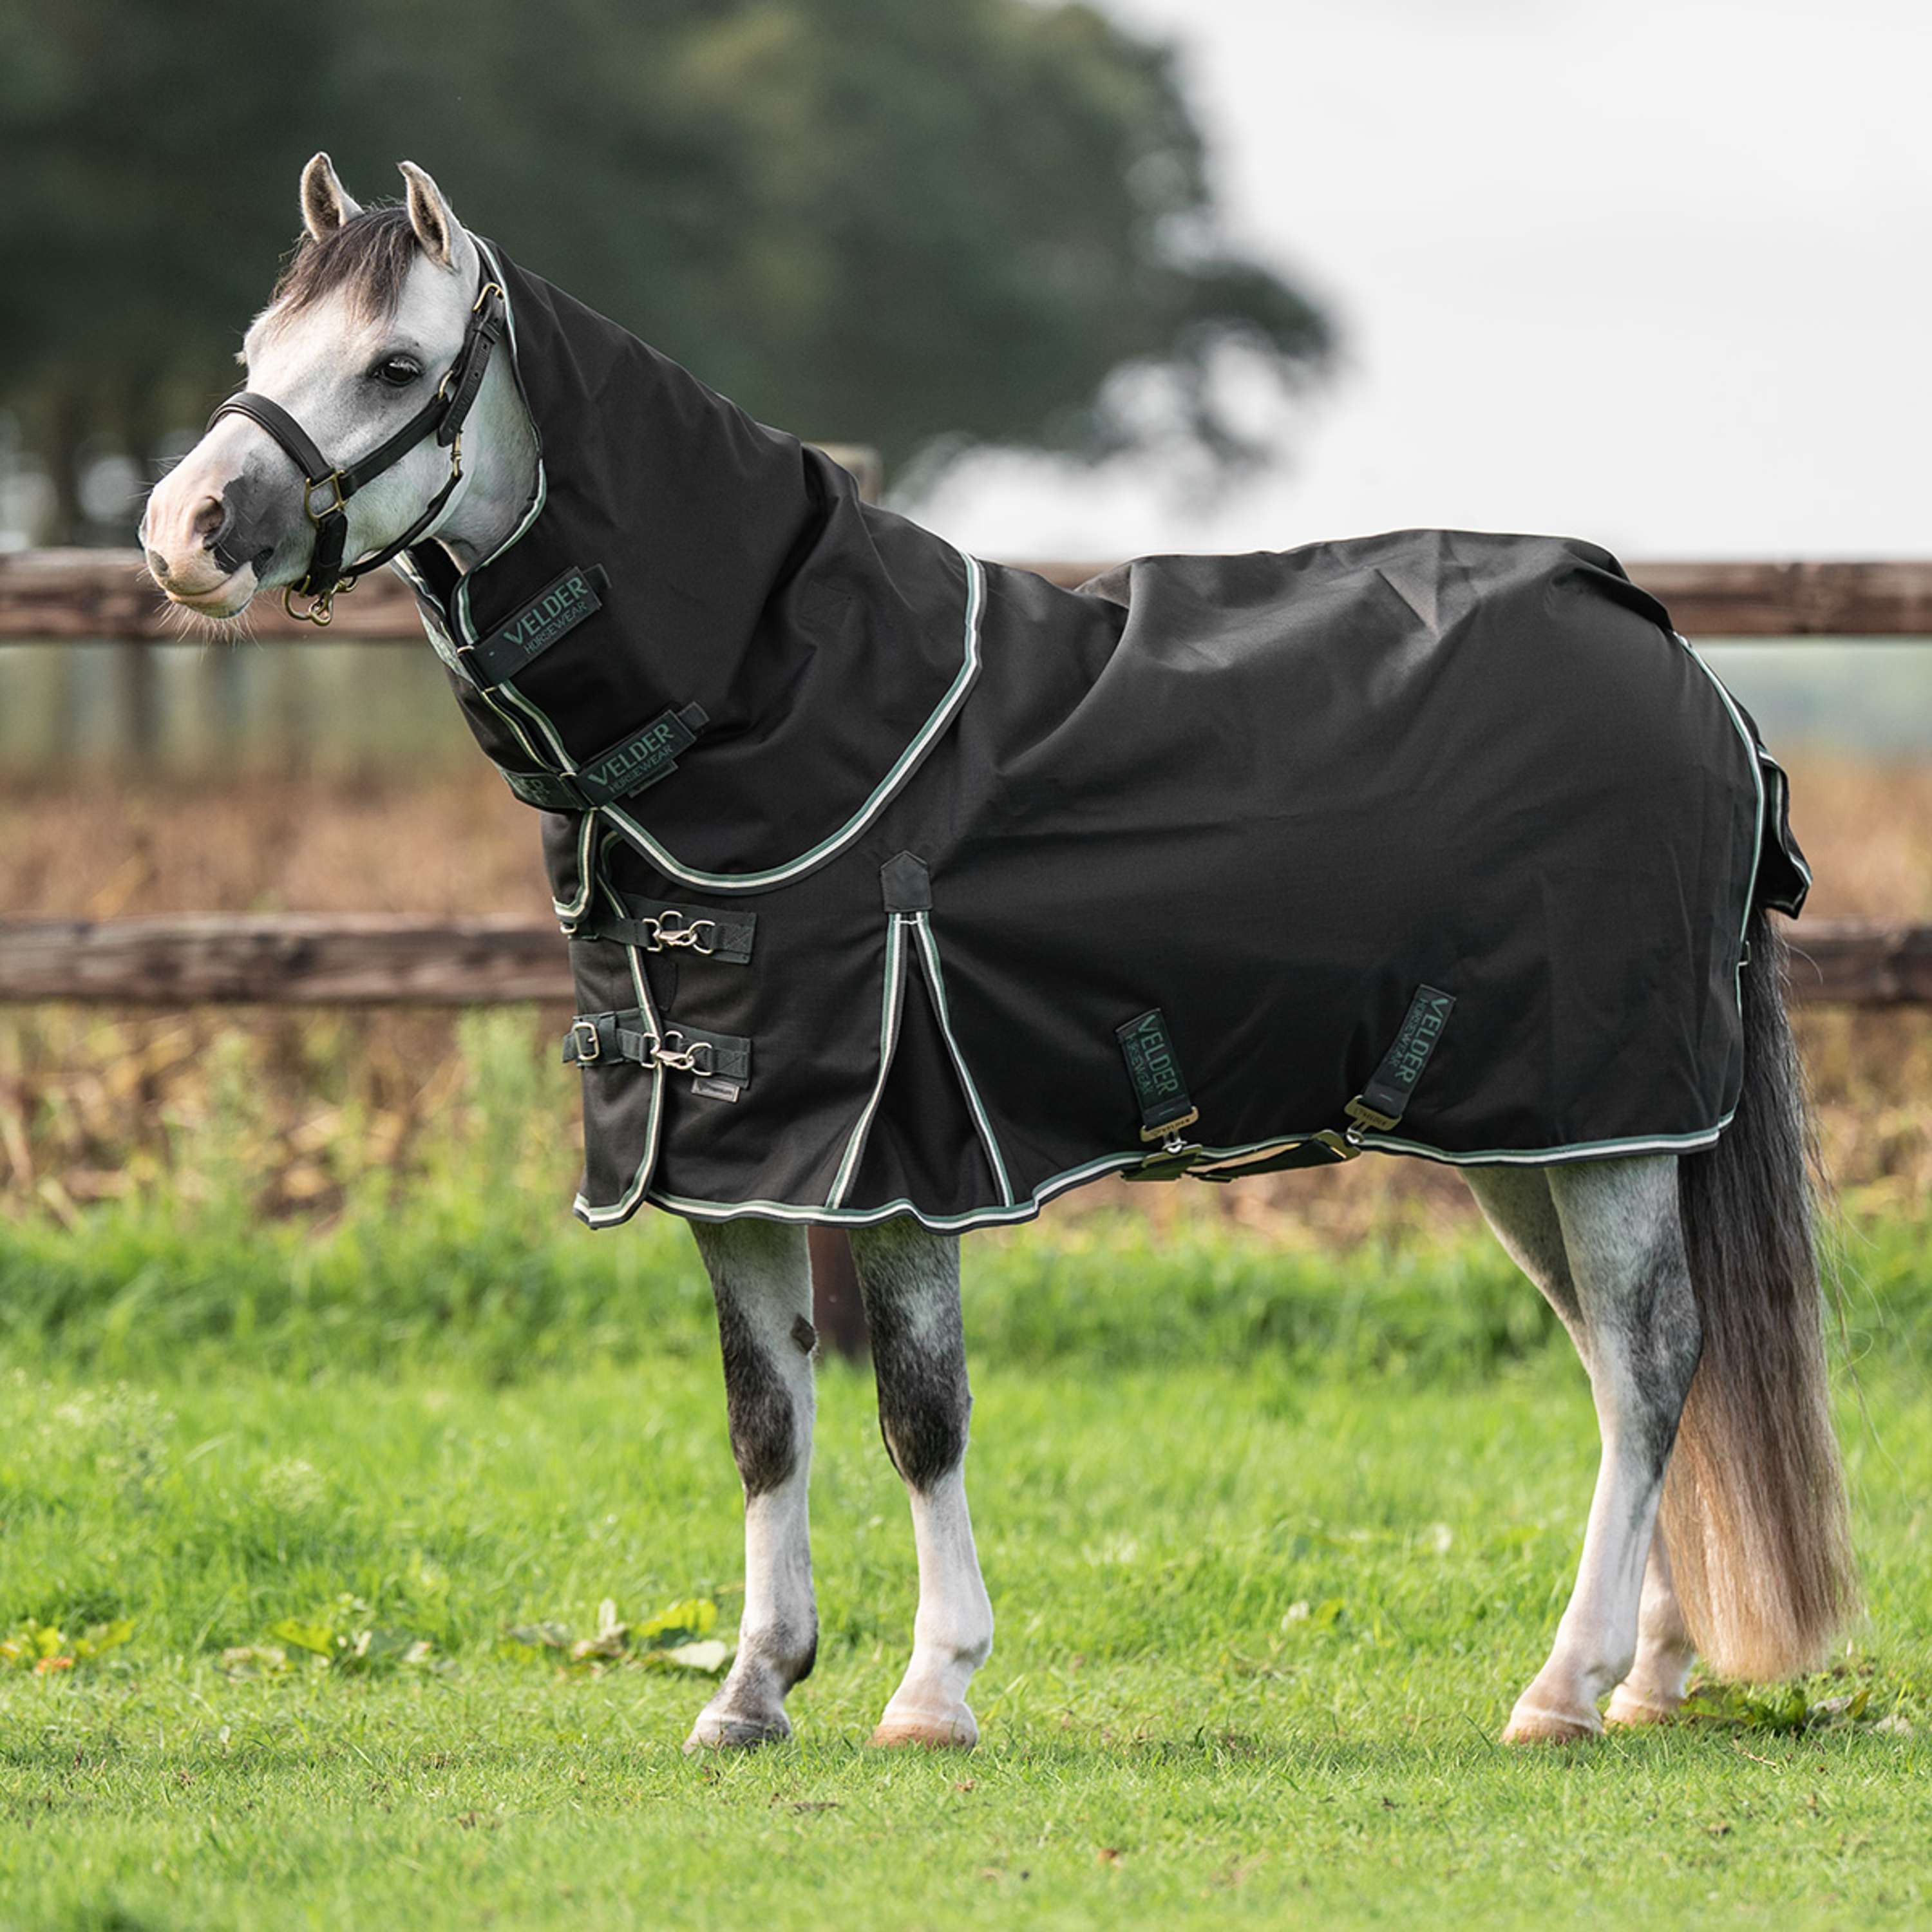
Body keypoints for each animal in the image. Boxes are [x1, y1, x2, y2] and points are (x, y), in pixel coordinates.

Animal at [141, 154, 1855, 1752]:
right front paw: (752, 1690)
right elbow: (766, 1420)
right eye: (258, 344)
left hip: (1605, 1118)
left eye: (393, 366)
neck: (785, 714)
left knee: (1650, 1362)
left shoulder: (901, 1159)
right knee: (1622, 1369)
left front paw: (931, 1686)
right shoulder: (731, 1167)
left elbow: (919, 1414)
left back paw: (1561, 1689)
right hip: (1531, 1136)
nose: (181, 531)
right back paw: (1645, 1676)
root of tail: (1676, 658)